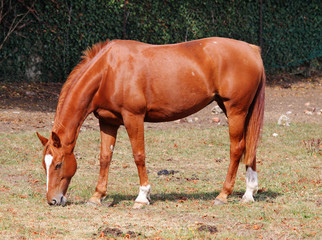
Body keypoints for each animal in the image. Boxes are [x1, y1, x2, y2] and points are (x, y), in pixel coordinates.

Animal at [36, 37, 266, 208]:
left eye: (58, 164)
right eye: (44, 164)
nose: (52, 200)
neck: (108, 70)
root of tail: (252, 50)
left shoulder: (133, 117)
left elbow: (139, 155)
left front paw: (142, 197)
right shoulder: (108, 122)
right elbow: (105, 158)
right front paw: (97, 196)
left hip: (235, 110)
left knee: (237, 148)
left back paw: (223, 194)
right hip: (238, 111)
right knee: (250, 146)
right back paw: (249, 193)